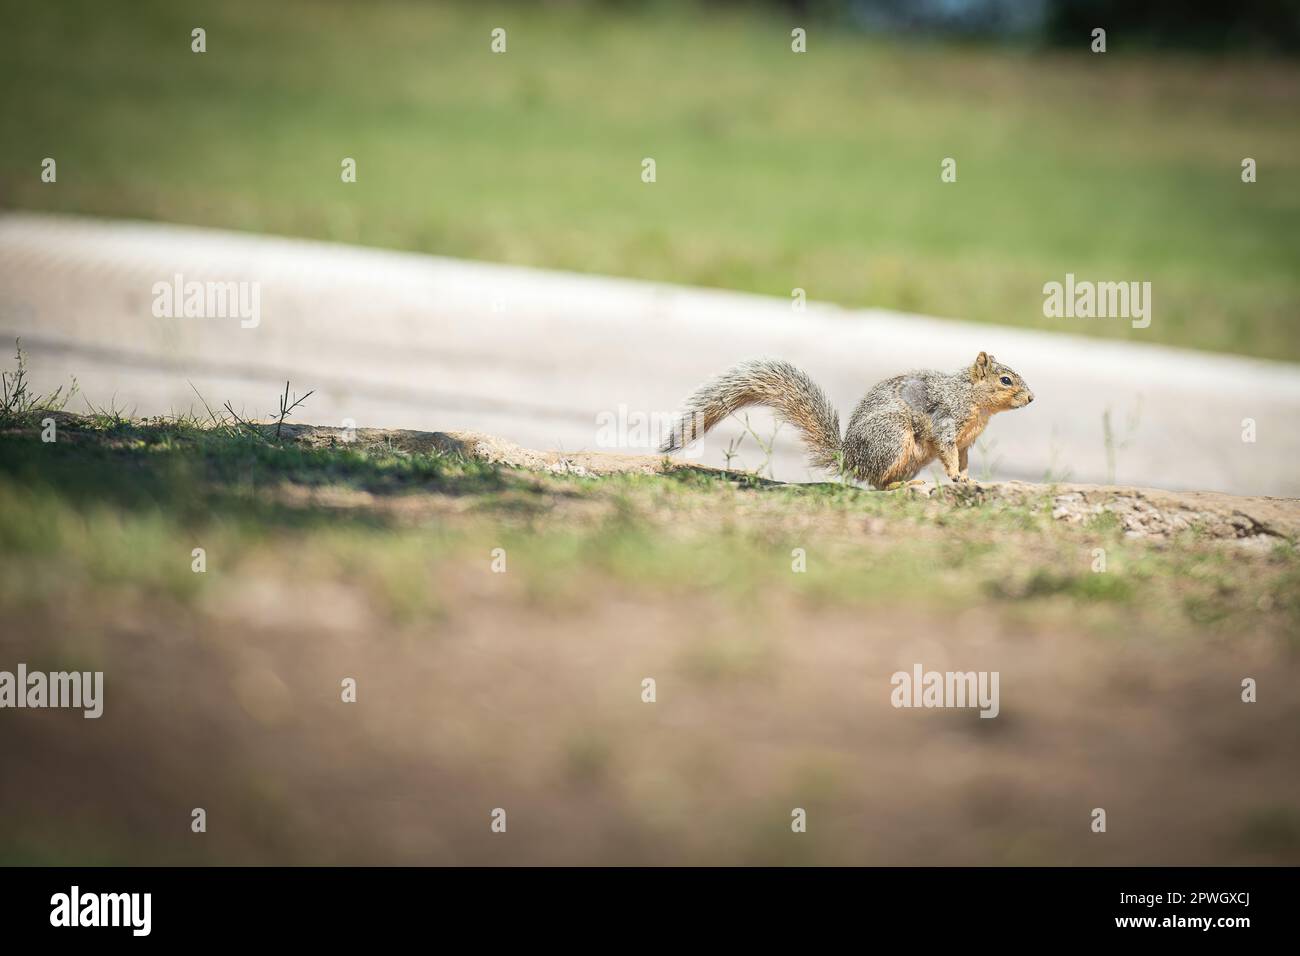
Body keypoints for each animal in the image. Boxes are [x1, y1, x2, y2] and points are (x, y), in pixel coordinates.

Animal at [659, 352, 1034, 488]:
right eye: (1006, 380)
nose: (1031, 398)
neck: (975, 402)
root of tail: (849, 460)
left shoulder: (967, 440)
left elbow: (964, 458)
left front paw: (967, 478)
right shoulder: (945, 421)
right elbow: (948, 451)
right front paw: (956, 475)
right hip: (892, 437)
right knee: (878, 482)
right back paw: (900, 486)